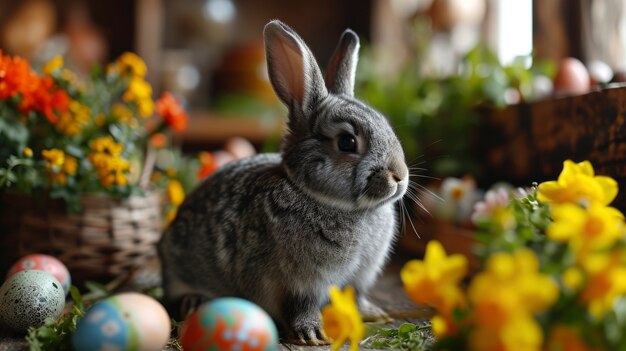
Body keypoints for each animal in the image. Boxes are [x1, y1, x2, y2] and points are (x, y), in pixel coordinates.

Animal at [158, 20, 408, 346]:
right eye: (347, 142)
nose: (400, 176)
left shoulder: (358, 278)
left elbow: (356, 297)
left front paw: (374, 314)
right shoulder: (300, 283)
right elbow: (301, 307)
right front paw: (313, 335)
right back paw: (194, 301)